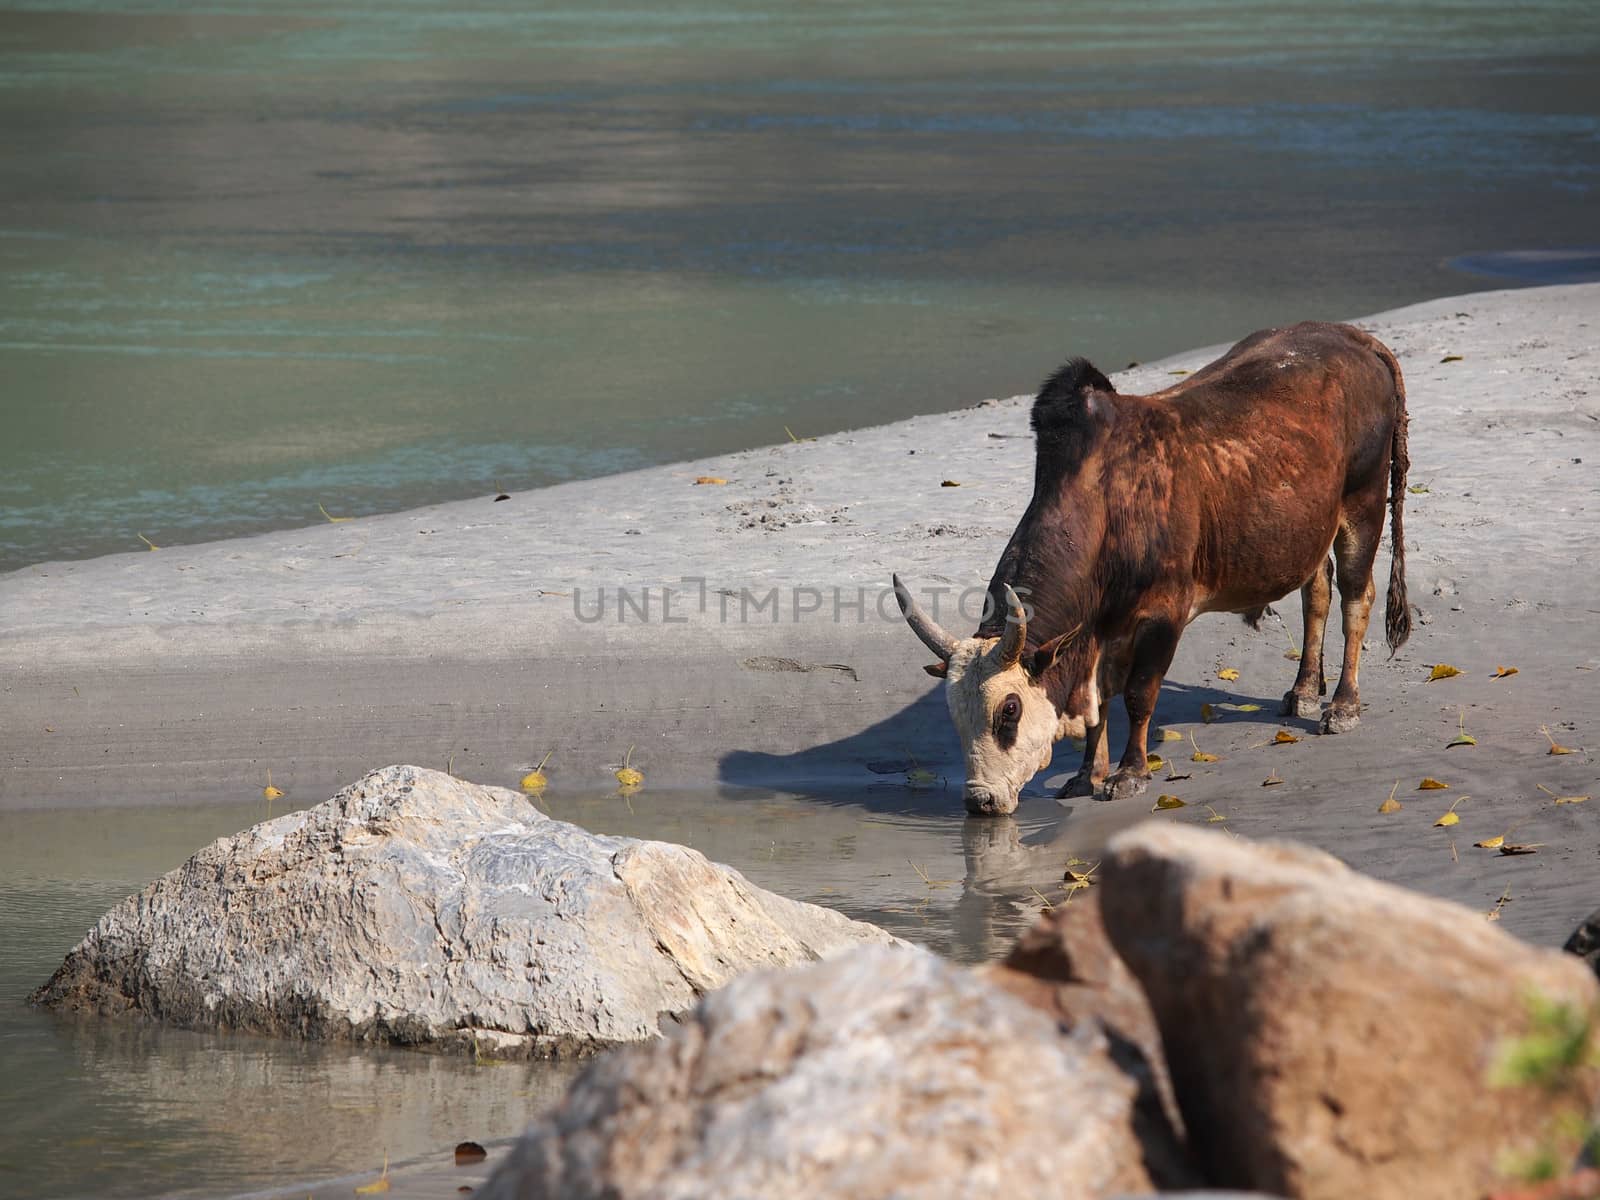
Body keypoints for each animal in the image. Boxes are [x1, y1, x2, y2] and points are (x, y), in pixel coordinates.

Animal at [902, 321, 1414, 819]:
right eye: (955, 716)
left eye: (1009, 710)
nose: (981, 801)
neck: (1104, 506)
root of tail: (1355, 337)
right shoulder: (1098, 631)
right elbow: (1100, 704)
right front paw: (1086, 775)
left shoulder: (1164, 615)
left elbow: (1138, 695)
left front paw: (1128, 774)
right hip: (1310, 528)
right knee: (1317, 592)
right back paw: (1303, 690)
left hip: (1363, 504)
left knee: (1356, 599)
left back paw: (1342, 706)